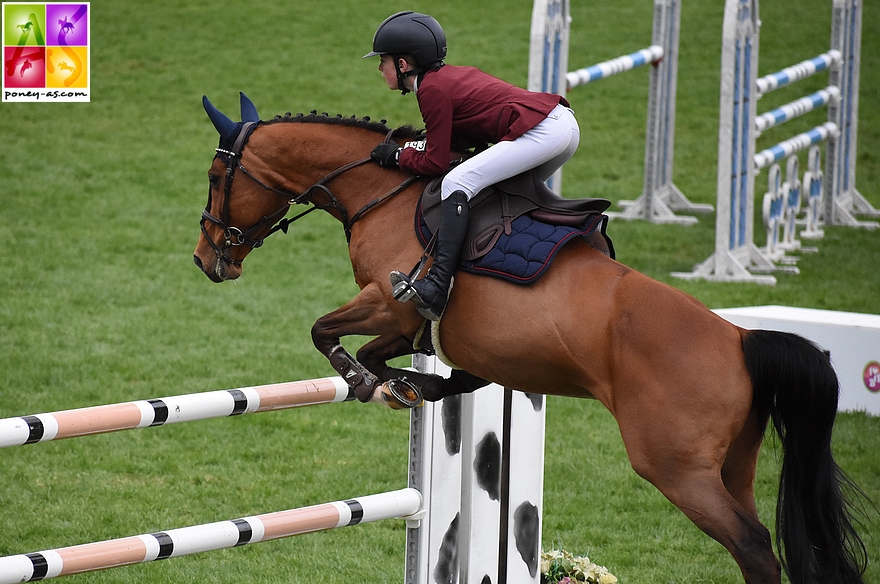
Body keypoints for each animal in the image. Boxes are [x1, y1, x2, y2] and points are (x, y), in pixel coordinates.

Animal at [192, 93, 868, 580]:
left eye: (216, 175)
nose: (205, 259)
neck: (382, 192)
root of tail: (741, 341)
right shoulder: (409, 326)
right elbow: (386, 357)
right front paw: (410, 386)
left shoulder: (390, 303)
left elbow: (328, 334)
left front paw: (371, 382)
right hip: (734, 466)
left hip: (677, 469)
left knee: (753, 546)